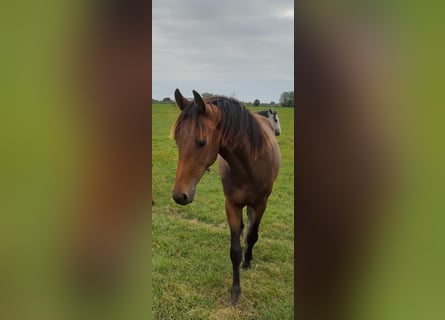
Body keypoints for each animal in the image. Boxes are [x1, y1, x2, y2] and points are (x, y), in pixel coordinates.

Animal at [171, 89, 280, 304]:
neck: (249, 165)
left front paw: (247, 262)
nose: (180, 196)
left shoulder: (261, 203)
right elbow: (235, 251)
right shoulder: (231, 205)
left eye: (202, 141)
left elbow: (252, 235)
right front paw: (235, 291)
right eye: (177, 140)